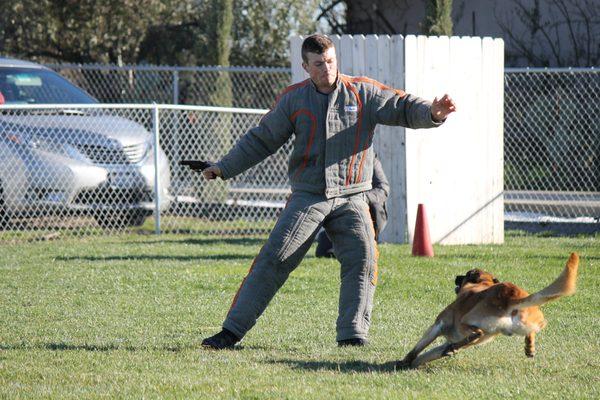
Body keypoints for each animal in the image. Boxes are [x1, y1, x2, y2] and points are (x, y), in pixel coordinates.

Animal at [396, 253, 580, 368]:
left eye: (467, 274)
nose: (456, 277)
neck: (483, 283)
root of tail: (510, 296)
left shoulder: (438, 325)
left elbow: (418, 347)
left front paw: (405, 362)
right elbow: (430, 353)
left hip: (469, 320)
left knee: (476, 332)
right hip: (532, 320)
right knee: (535, 329)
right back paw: (529, 346)